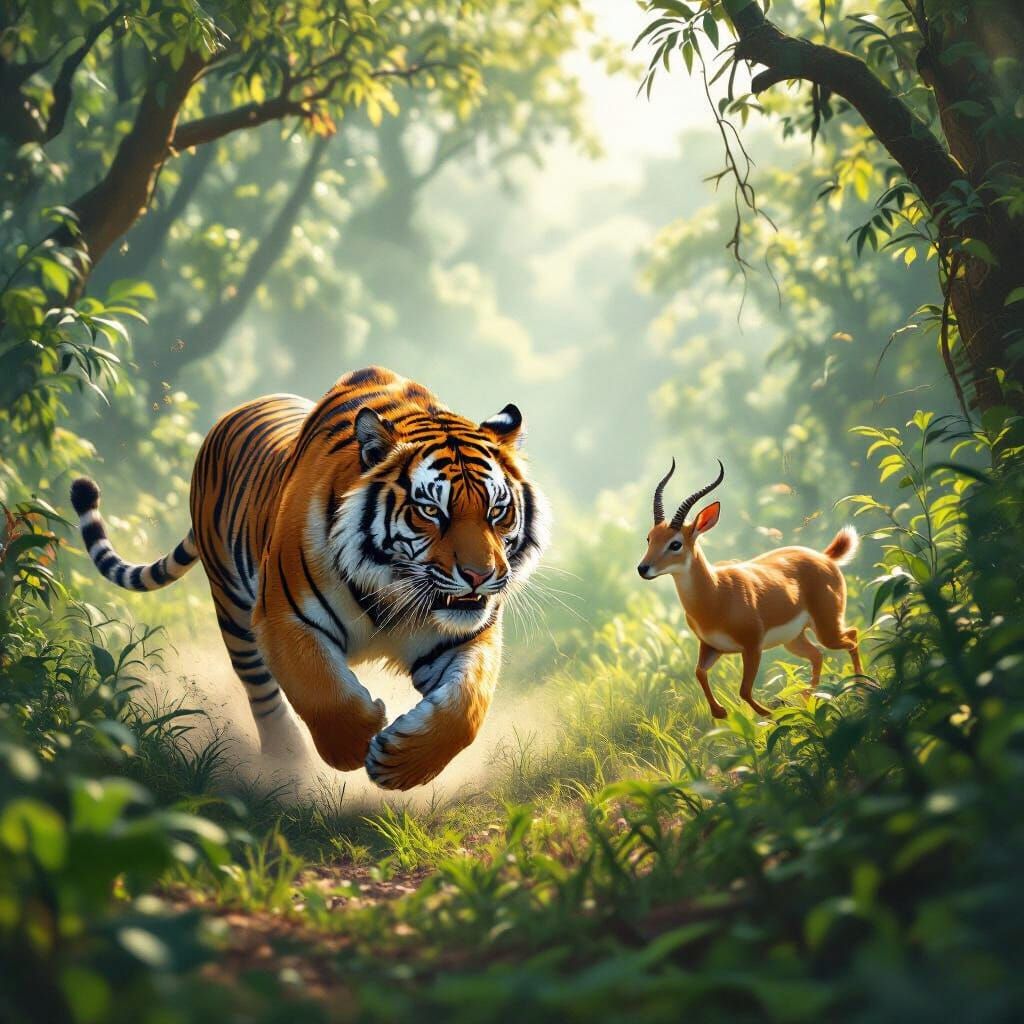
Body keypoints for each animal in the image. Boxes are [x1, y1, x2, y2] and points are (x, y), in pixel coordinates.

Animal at [70, 366, 550, 790]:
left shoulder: (466, 635)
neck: (391, 584)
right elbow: (322, 690)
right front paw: (355, 744)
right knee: (259, 688)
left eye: (497, 511)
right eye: (431, 510)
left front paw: (400, 764)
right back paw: (287, 761)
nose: (480, 576)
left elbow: (467, 705)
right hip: (232, 606)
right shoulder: (284, 618)